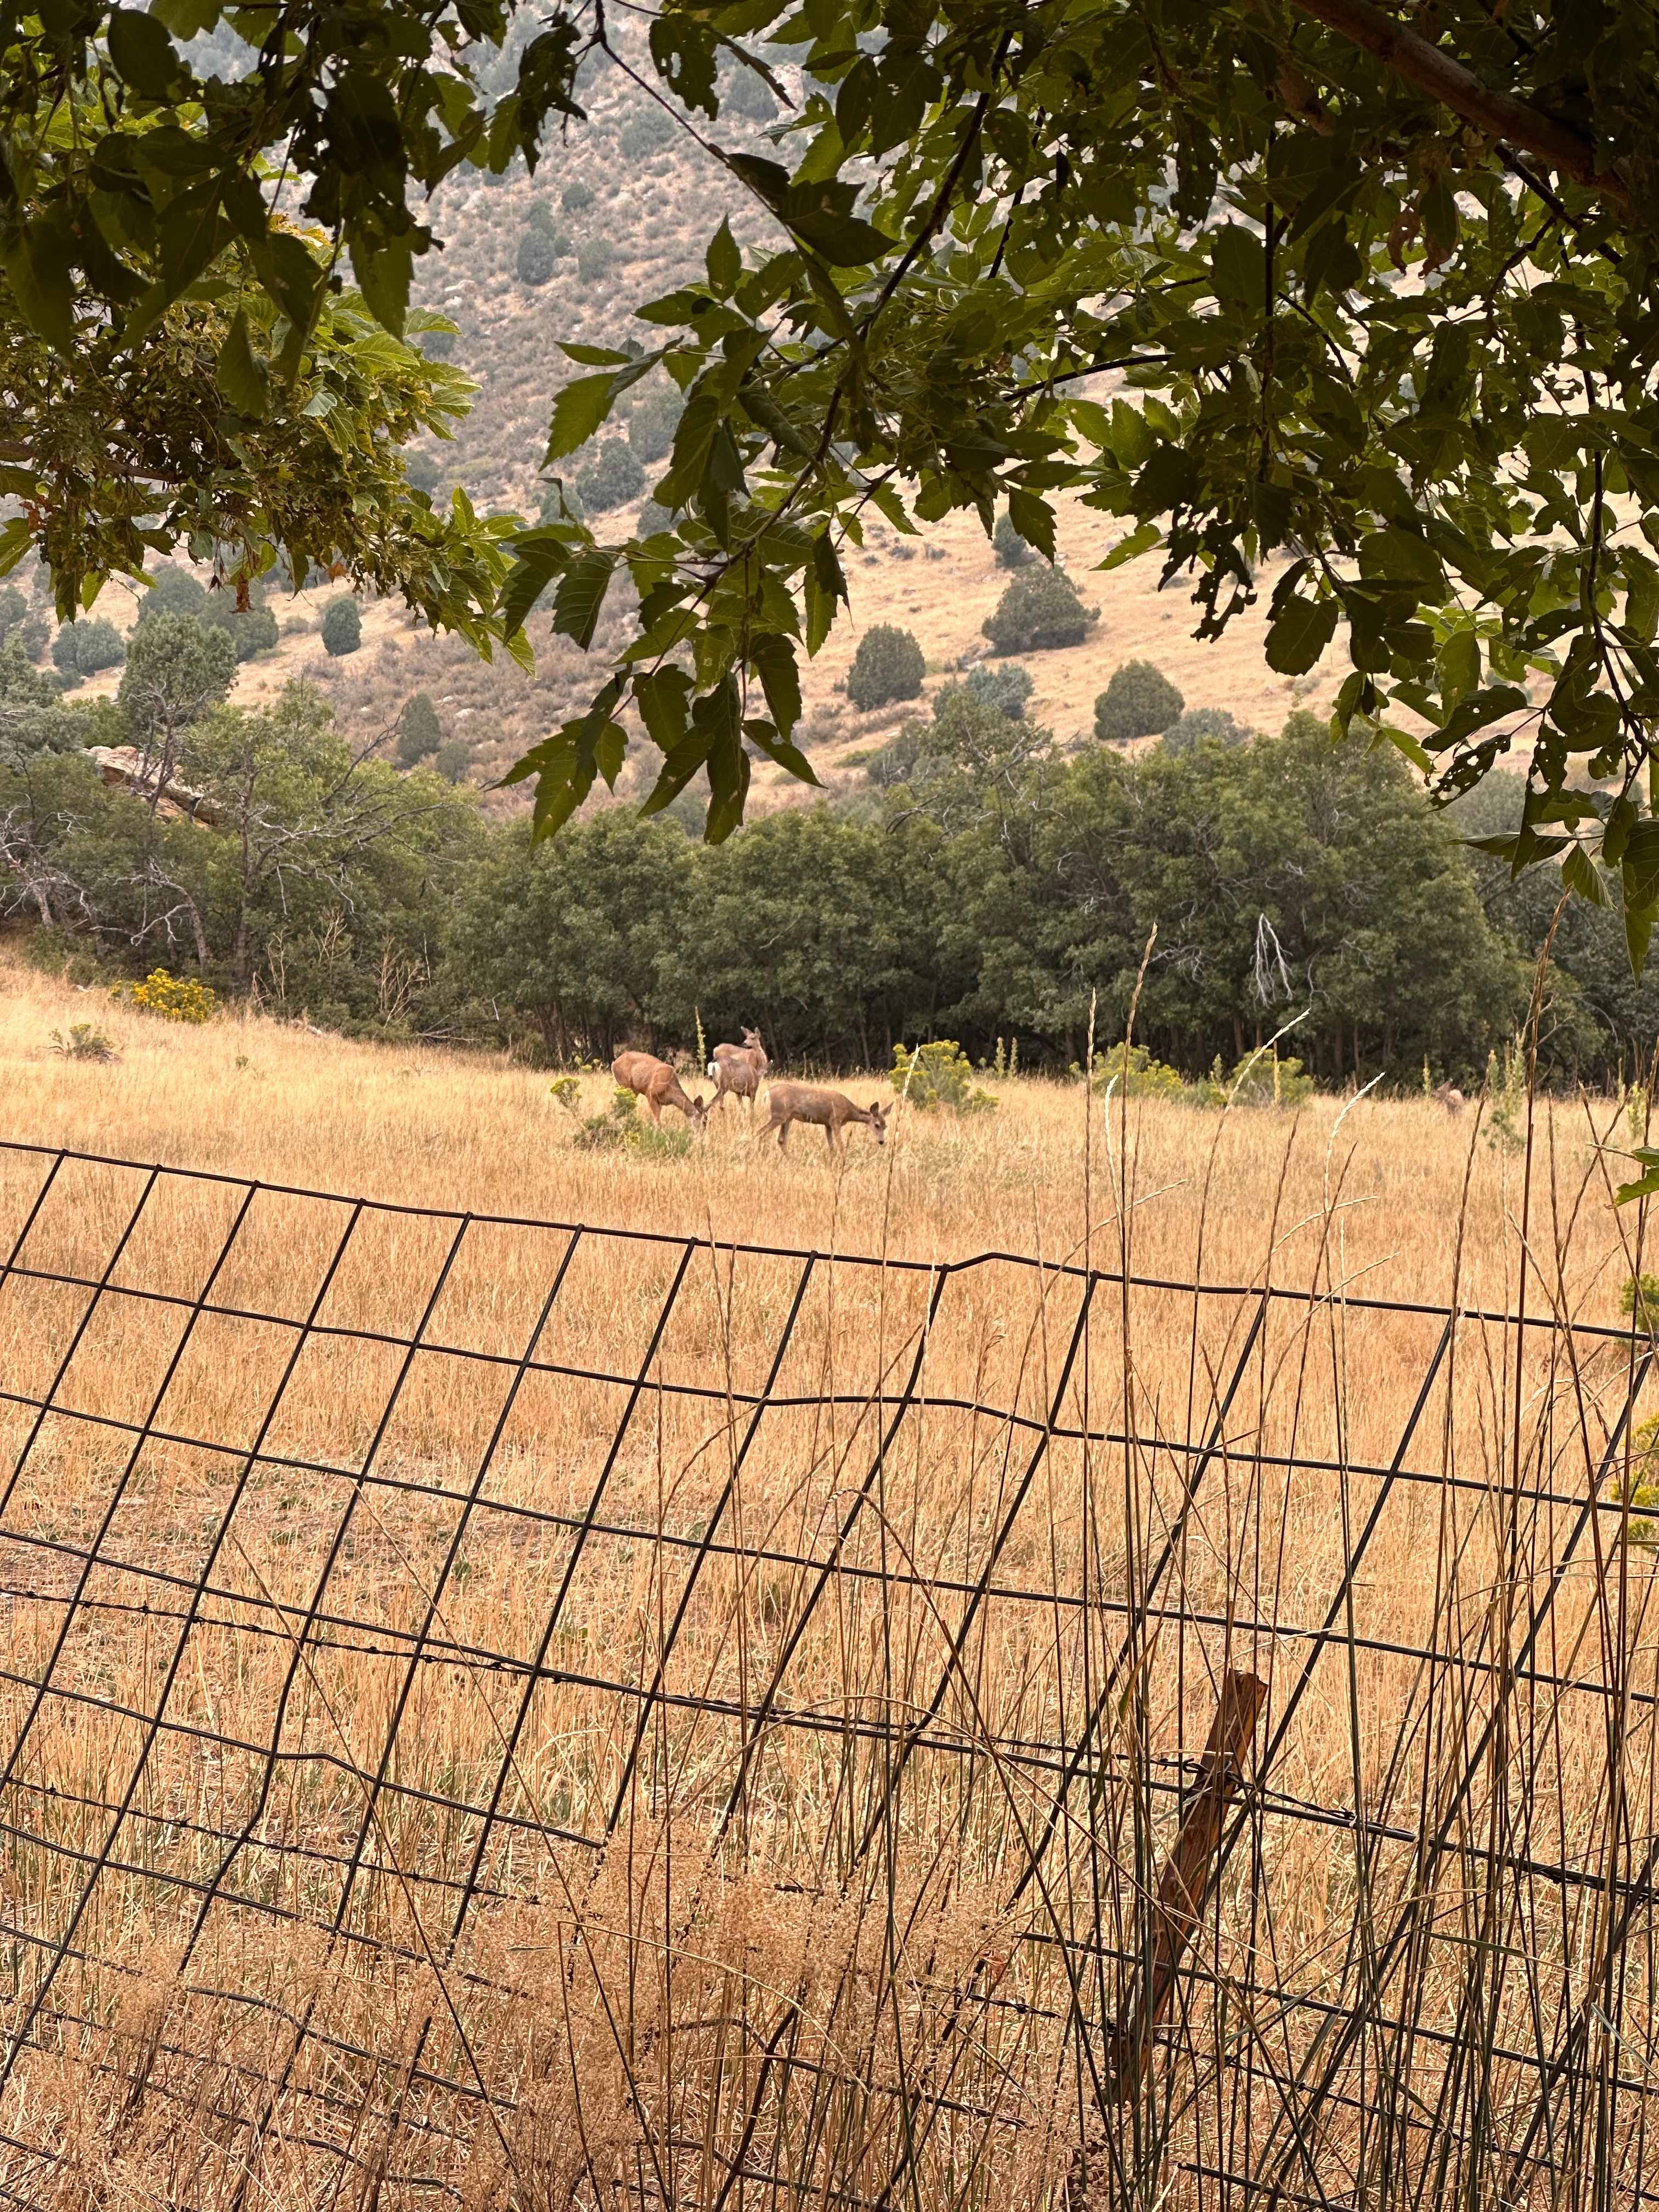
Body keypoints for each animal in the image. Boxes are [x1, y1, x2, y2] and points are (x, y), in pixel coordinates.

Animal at [611, 1051, 708, 1132]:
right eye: (704, 1121)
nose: (702, 1135)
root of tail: (614, 1063)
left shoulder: (660, 1102)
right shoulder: (650, 1093)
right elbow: (657, 1120)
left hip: (634, 1090)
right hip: (625, 1084)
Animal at [707, 1026, 769, 1116]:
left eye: (753, 1037)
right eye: (746, 1037)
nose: (744, 1043)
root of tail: (715, 1049)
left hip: (717, 1083)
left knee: (720, 1104)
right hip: (724, 1084)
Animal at [759, 1081, 888, 1156]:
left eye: (885, 1126)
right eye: (876, 1125)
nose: (881, 1141)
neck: (848, 1111)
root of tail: (766, 1094)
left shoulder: (828, 1125)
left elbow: (831, 1147)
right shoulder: (836, 1121)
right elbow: (841, 1146)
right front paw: (843, 1161)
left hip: (788, 1118)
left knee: (781, 1139)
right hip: (779, 1115)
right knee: (761, 1133)